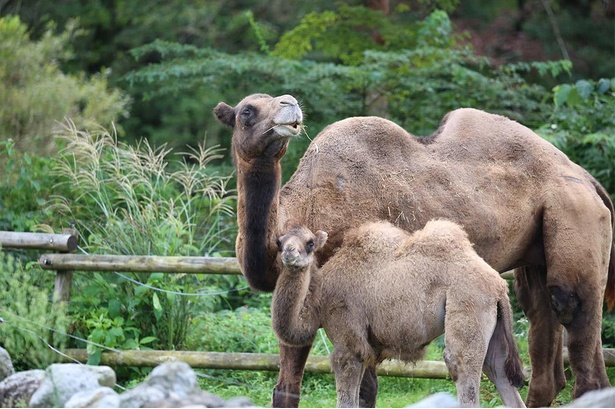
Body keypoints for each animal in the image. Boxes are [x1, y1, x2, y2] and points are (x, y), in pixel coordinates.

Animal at [276, 222, 528, 406]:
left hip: (468, 305)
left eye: (310, 243)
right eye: (279, 242)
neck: (319, 302)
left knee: (462, 365)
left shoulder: (347, 343)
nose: (289, 252)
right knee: (497, 368)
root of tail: (498, 285)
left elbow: (346, 399)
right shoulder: (364, 350)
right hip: (493, 326)